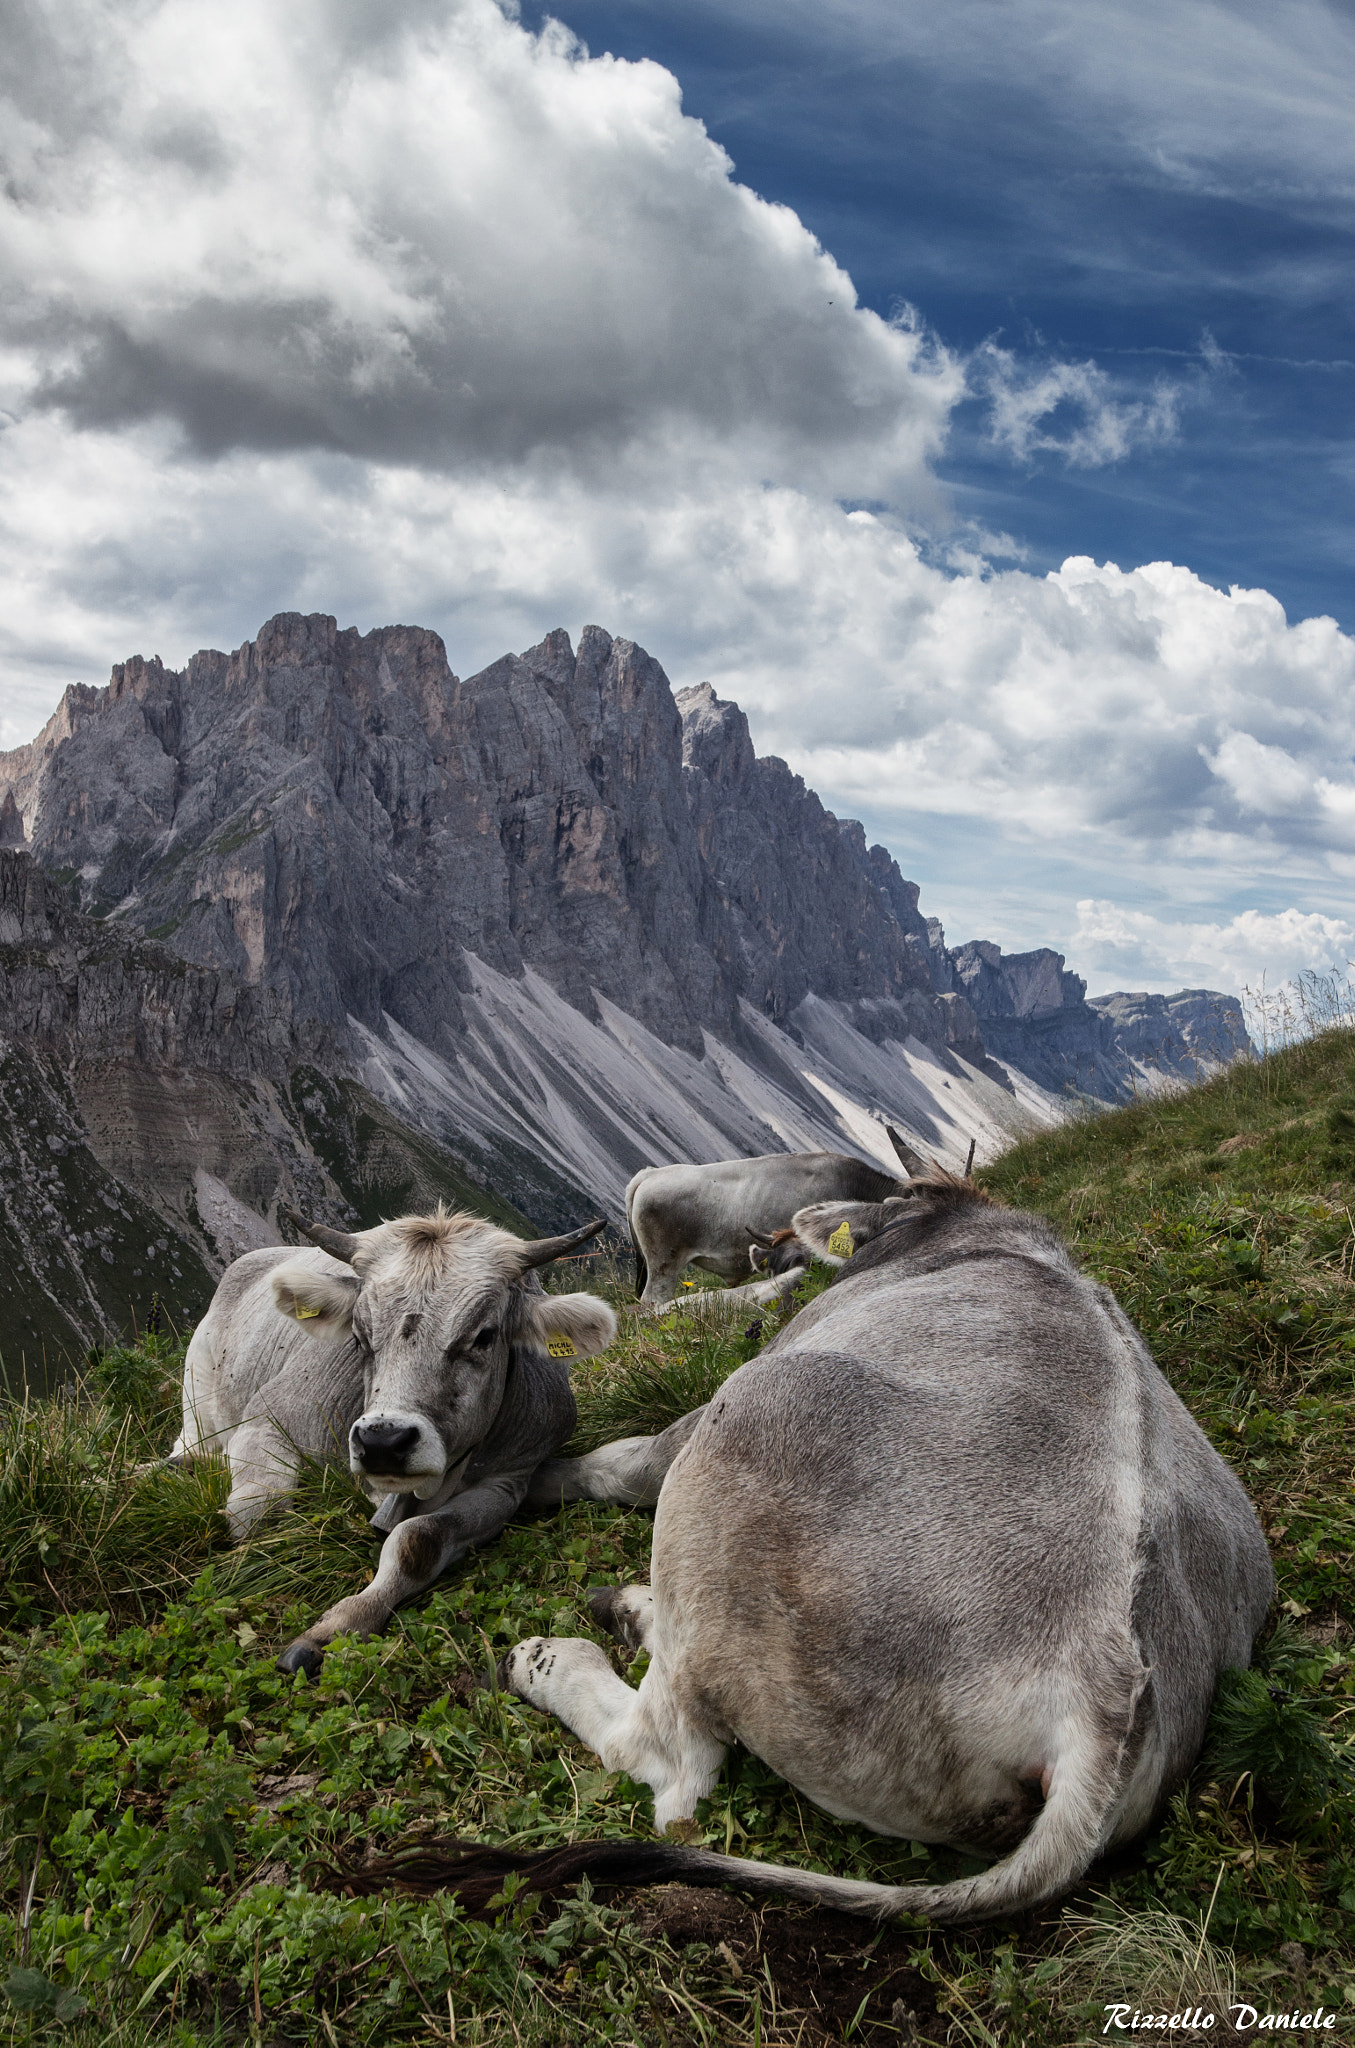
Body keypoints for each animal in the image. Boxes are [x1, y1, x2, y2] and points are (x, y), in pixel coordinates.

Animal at [170, 1206, 617, 1676]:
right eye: (359, 1335)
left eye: (484, 1335)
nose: (383, 1442)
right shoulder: (269, 1419)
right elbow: (259, 1515)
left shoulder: (509, 1480)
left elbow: (418, 1541)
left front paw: (339, 1623)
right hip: (197, 1386)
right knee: (192, 1446)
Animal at [457, 1173, 1274, 1924]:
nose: (778, 1248)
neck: (985, 1236)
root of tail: (1101, 1693)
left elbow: (624, 1461)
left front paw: (533, 1479)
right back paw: (632, 1610)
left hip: (755, 1420)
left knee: (670, 1764)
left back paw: (550, 1655)